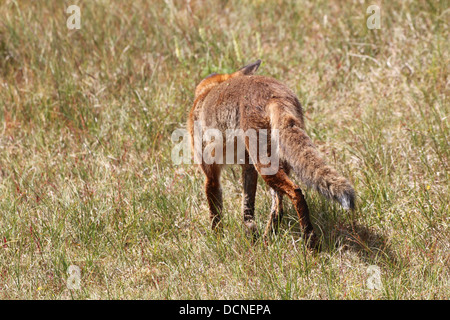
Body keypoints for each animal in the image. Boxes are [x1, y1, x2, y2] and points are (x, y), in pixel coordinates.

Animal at [187, 60, 356, 250]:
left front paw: (218, 242)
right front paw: (250, 235)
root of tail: (275, 93)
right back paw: (267, 242)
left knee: (296, 193)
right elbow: (247, 210)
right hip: (275, 164)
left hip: (265, 166)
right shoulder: (248, 166)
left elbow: (215, 215)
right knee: (278, 209)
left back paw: (310, 241)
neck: (204, 96)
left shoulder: (211, 174)